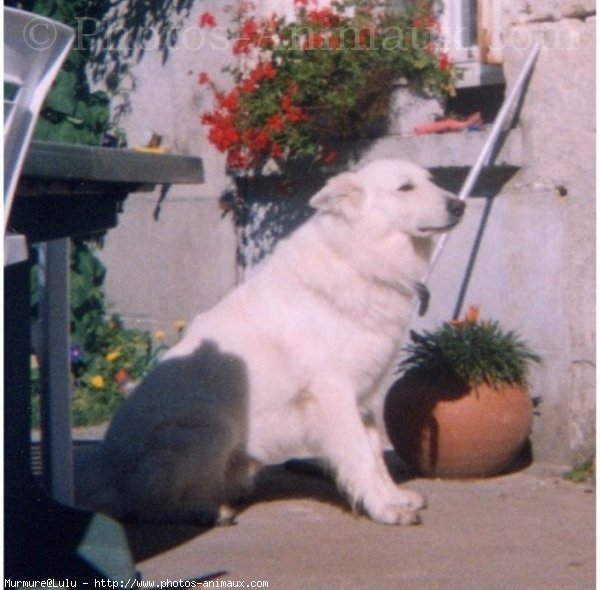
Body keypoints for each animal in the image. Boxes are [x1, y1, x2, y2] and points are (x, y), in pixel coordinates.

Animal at [78, 161, 464, 528]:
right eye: (405, 188)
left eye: (430, 181)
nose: (460, 205)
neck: (358, 257)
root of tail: (106, 470)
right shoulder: (334, 393)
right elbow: (360, 456)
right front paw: (386, 510)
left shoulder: (362, 398)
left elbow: (374, 457)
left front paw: (395, 498)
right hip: (212, 429)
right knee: (141, 506)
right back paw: (205, 513)